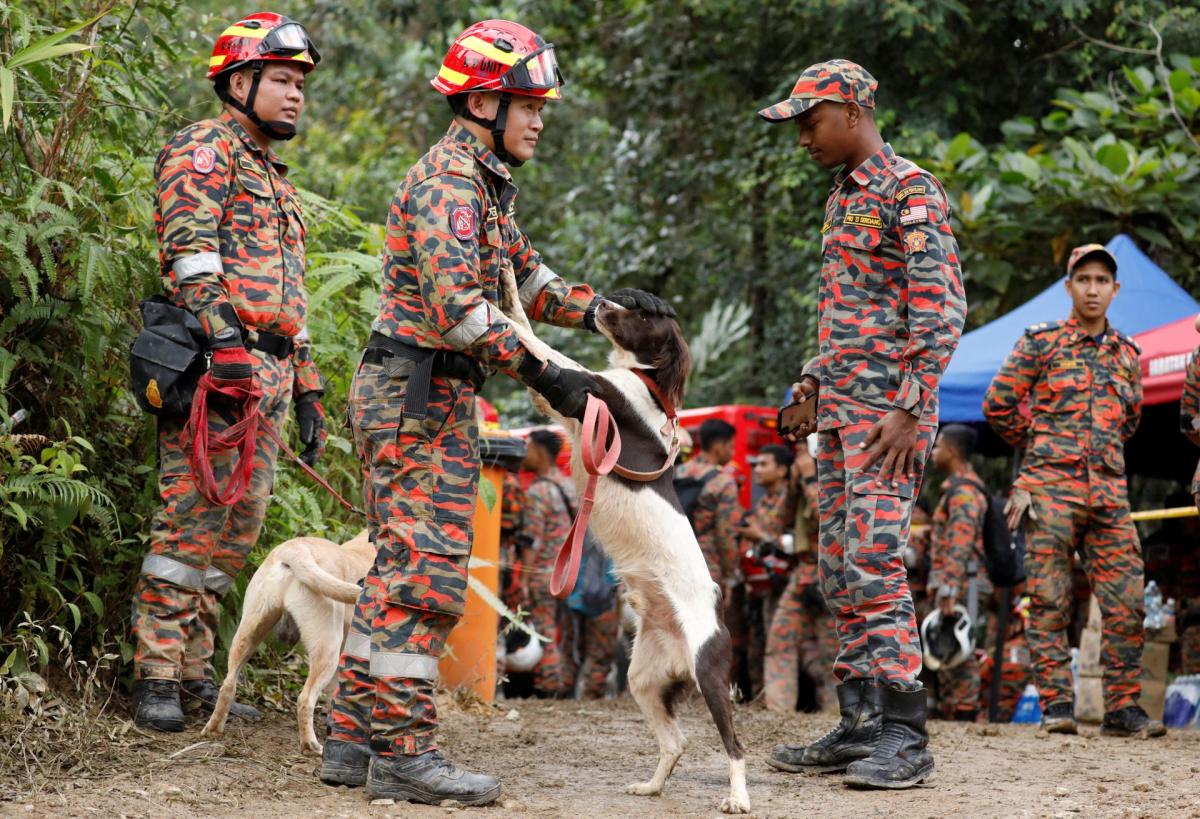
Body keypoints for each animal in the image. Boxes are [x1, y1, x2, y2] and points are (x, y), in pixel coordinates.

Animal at [200, 528, 374, 754]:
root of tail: (294, 548)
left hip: (248, 633)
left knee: (228, 685)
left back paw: (213, 729)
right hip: (327, 648)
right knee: (305, 699)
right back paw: (311, 746)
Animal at [499, 278, 748, 811]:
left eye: (642, 317)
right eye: (634, 304)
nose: (604, 304)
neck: (650, 386)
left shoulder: (592, 390)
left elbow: (532, 340)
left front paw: (495, 296)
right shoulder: (564, 410)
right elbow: (527, 331)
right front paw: (506, 281)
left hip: (710, 674)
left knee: (734, 747)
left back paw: (739, 799)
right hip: (643, 679)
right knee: (676, 742)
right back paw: (652, 786)